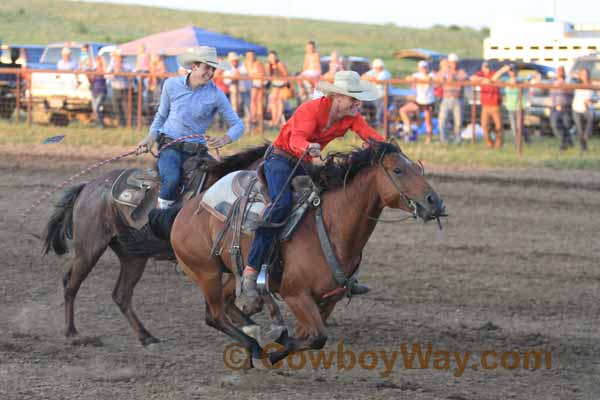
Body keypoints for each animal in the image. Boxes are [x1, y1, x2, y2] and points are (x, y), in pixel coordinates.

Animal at [42, 145, 268, 346]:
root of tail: (88, 186)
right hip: (89, 249)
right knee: (71, 284)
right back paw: (72, 333)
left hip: (132, 257)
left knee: (121, 295)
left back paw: (146, 337)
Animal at [170, 142, 446, 364]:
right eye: (398, 170)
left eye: (417, 167)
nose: (435, 201)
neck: (331, 226)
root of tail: (189, 208)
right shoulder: (295, 294)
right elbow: (317, 337)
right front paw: (277, 343)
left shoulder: (327, 301)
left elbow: (310, 335)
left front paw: (278, 346)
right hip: (207, 273)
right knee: (214, 315)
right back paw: (255, 346)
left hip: (230, 271)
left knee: (228, 305)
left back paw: (256, 330)